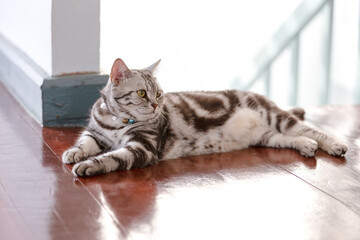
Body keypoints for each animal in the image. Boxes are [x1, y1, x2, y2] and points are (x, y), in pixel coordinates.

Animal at [62, 58, 348, 176]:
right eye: (142, 93)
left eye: (159, 94)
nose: (155, 105)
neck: (117, 122)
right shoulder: (95, 133)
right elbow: (84, 142)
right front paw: (74, 153)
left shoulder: (141, 147)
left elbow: (112, 157)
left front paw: (89, 165)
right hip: (266, 136)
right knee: (290, 138)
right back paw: (307, 147)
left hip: (275, 116)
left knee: (308, 130)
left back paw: (335, 145)